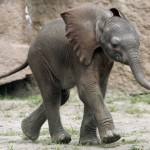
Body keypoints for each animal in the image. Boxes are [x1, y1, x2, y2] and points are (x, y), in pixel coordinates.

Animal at [0, 2, 149, 145]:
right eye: (114, 45)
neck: (101, 22)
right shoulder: (78, 54)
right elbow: (88, 88)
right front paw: (112, 137)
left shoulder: (104, 58)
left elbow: (99, 89)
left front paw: (89, 142)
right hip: (39, 59)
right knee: (52, 94)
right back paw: (61, 139)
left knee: (63, 95)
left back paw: (27, 132)